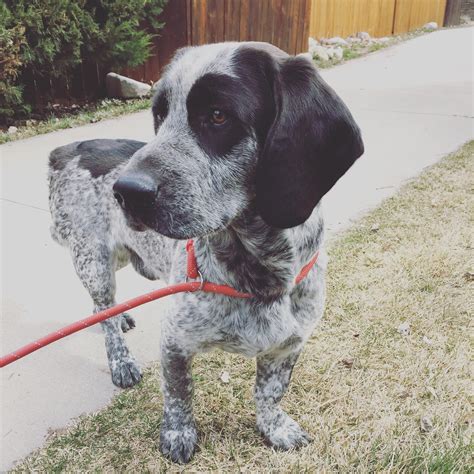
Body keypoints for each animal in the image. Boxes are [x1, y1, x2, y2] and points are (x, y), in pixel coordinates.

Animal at [48, 41, 362, 462]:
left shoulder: (289, 344)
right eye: (159, 114)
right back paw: (120, 357)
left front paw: (274, 428)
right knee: (103, 308)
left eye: (217, 115)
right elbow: (179, 395)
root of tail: (66, 148)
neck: (257, 274)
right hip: (94, 261)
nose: (126, 191)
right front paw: (178, 435)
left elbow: (269, 394)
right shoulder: (174, 341)